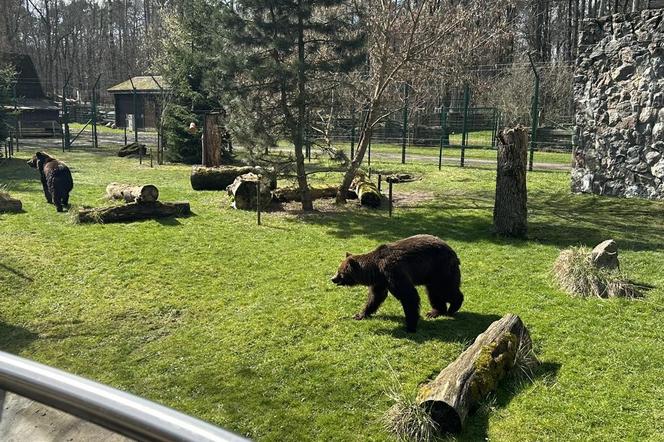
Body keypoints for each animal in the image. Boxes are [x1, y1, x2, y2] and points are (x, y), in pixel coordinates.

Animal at [330, 235, 464, 332]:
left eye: (340, 272)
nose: (332, 278)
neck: (375, 269)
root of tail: (453, 252)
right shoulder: (381, 280)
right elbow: (376, 296)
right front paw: (360, 314)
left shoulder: (393, 271)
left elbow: (409, 295)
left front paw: (410, 326)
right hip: (430, 275)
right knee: (433, 293)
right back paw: (434, 312)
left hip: (440, 269)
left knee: (445, 289)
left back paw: (453, 306)